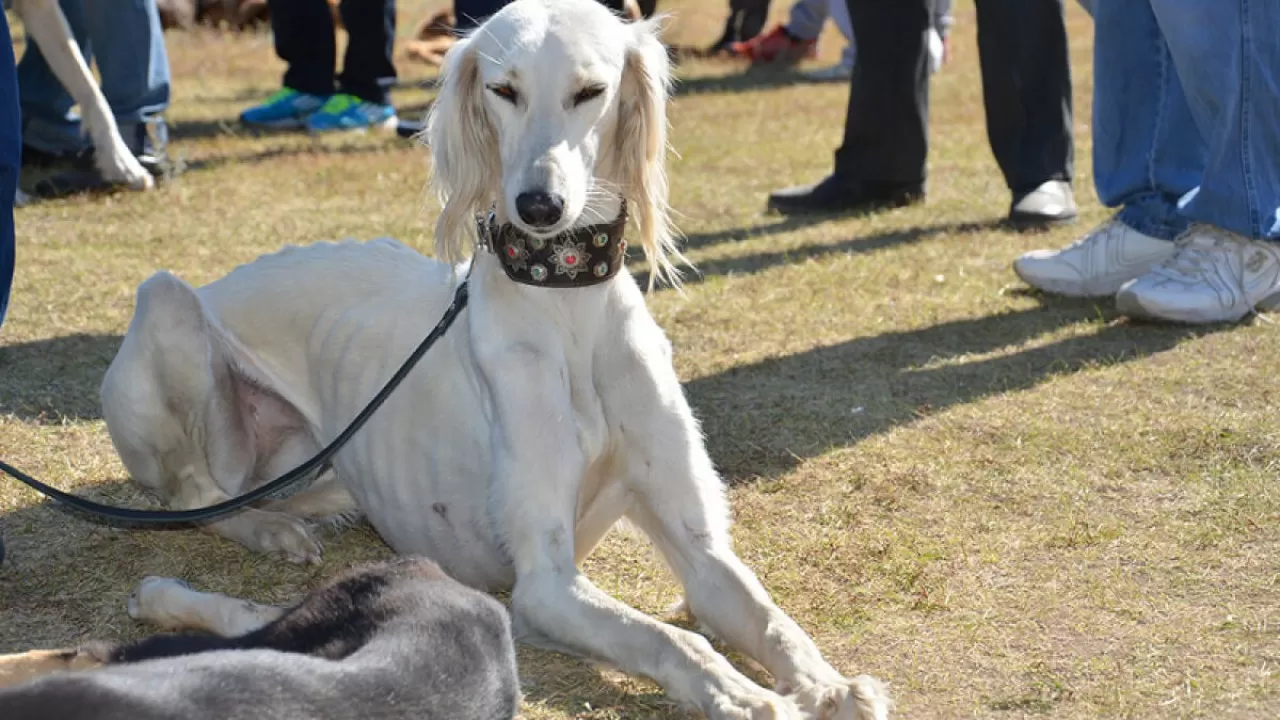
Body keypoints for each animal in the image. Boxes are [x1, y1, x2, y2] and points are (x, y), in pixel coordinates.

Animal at [97, 2, 890, 712]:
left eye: (590, 90)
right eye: (503, 89)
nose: (539, 207)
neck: (566, 303)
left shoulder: (700, 549)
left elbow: (768, 616)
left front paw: (833, 686)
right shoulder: (543, 583)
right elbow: (676, 639)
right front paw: (744, 696)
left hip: (326, 471)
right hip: (169, 304)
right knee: (197, 499)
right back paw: (253, 541)